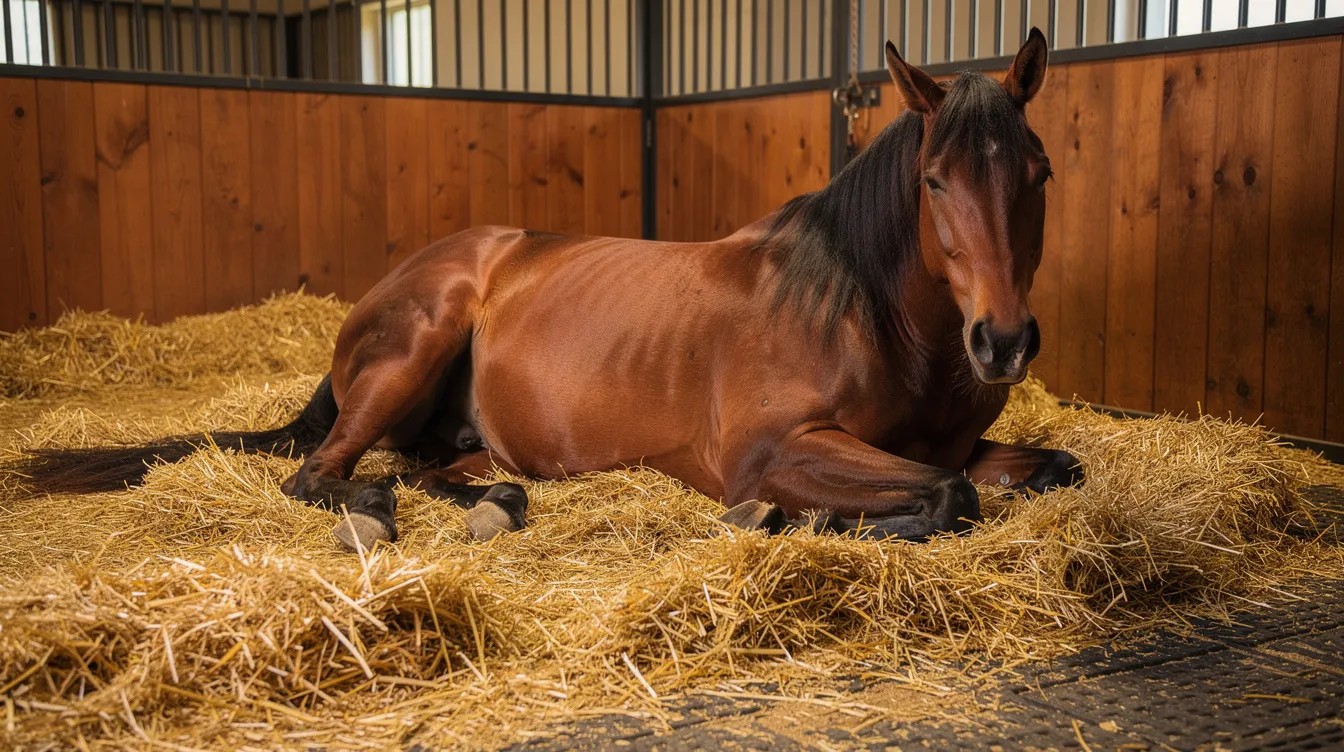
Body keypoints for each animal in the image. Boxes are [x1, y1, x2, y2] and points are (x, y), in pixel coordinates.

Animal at [10, 29, 1082, 551]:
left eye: (1039, 172)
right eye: (934, 181)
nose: (1002, 342)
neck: (861, 309)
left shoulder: (953, 442)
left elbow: (1046, 468)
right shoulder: (776, 449)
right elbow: (946, 494)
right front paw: (785, 519)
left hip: (467, 434)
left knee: (437, 472)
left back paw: (496, 504)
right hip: (415, 346)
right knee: (319, 473)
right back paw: (377, 512)